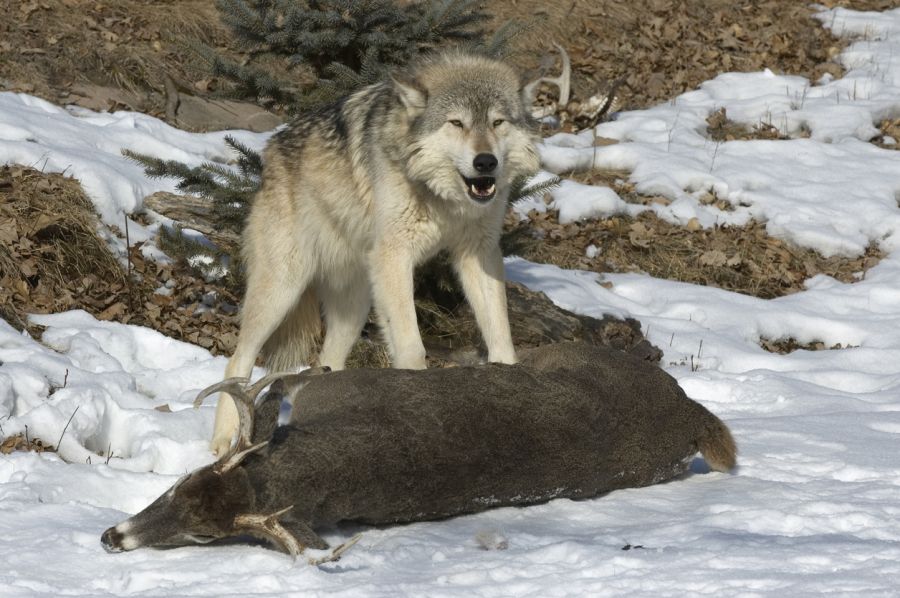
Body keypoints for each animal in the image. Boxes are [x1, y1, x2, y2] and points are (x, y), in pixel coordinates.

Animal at [213, 51, 540, 454]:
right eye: (457, 123)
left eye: (497, 122)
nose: (485, 162)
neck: (444, 199)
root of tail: (268, 154)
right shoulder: (395, 255)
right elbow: (412, 348)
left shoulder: (479, 253)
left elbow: (501, 337)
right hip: (283, 288)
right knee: (237, 363)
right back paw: (222, 441)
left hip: (355, 307)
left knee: (326, 363)